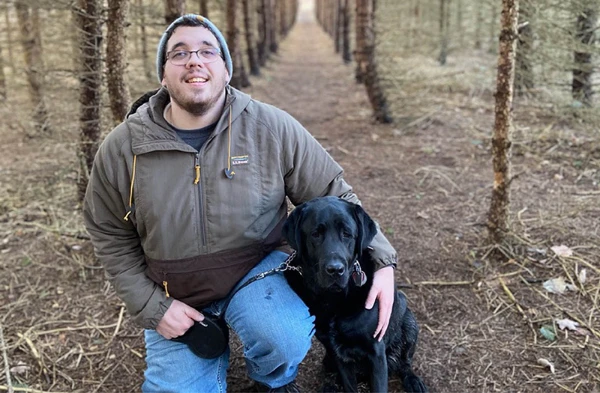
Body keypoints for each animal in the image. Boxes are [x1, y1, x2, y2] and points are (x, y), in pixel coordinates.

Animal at [284, 196, 428, 392]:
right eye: (315, 234)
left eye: (347, 233)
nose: (335, 270)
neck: (335, 300)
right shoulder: (339, 354)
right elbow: (349, 385)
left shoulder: (376, 353)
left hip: (409, 323)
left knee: (404, 363)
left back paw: (413, 381)